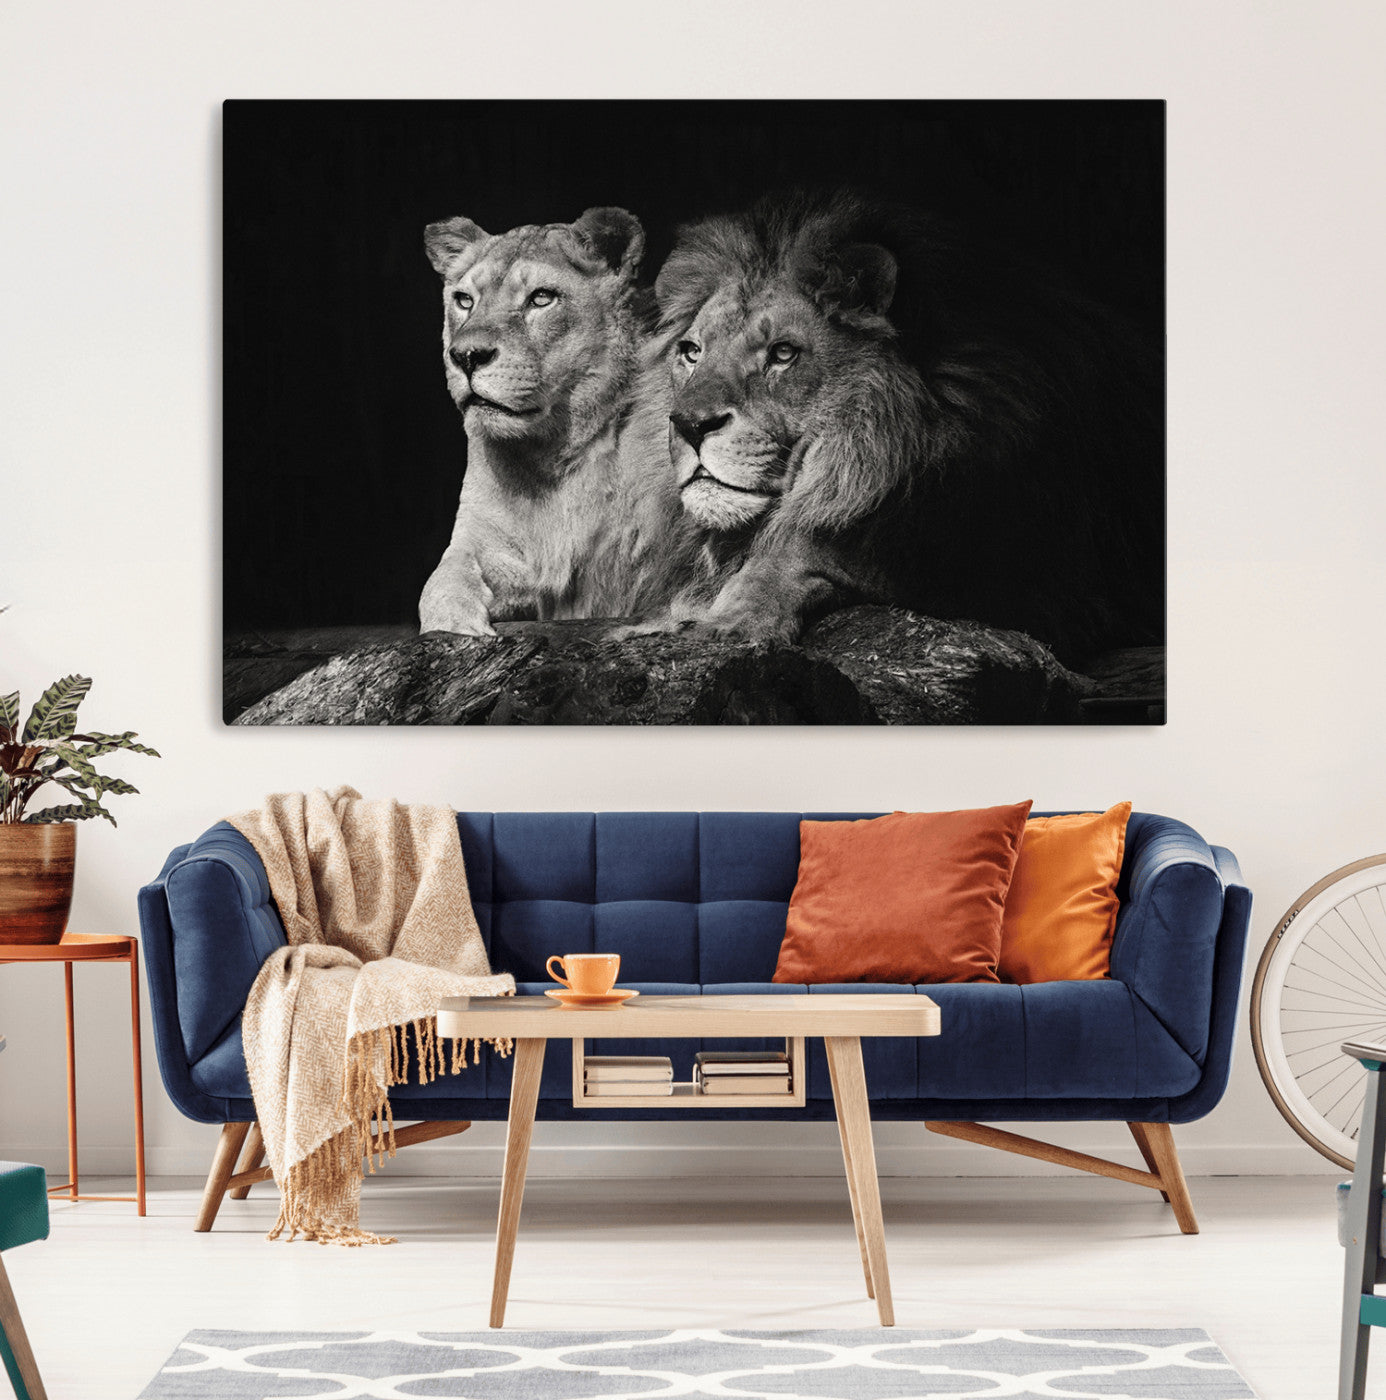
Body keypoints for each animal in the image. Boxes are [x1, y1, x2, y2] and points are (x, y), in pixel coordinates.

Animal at [419, 207, 696, 635]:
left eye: (541, 298)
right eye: (464, 300)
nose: (465, 356)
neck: (551, 456)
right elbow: (440, 581)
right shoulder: (482, 539)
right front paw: (456, 626)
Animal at [649, 191, 1164, 661]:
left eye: (783, 353)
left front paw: (729, 617)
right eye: (691, 351)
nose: (690, 424)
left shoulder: (1043, 583)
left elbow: (811, 542)